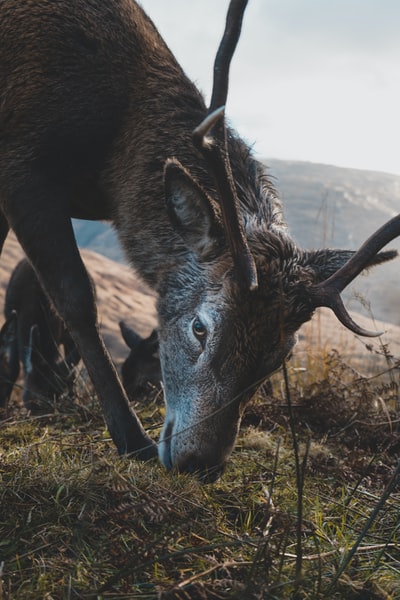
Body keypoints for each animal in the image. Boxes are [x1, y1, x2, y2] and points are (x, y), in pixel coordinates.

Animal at [0, 260, 81, 414]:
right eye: (32, 400)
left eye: (57, 395)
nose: (45, 413)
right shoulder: (15, 331)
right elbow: (13, 369)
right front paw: (4, 406)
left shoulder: (68, 336)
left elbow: (72, 370)